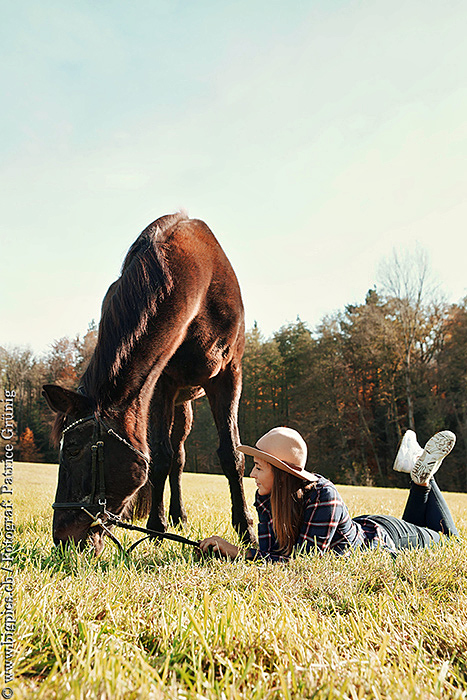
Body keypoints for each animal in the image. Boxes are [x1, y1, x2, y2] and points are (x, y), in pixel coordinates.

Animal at [43, 212, 256, 552]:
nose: (63, 537)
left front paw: (246, 530)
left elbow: (231, 454)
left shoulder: (228, 375)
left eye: (73, 449)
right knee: (176, 458)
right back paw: (176, 516)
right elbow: (159, 458)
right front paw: (157, 528)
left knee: (180, 457)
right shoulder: (160, 385)